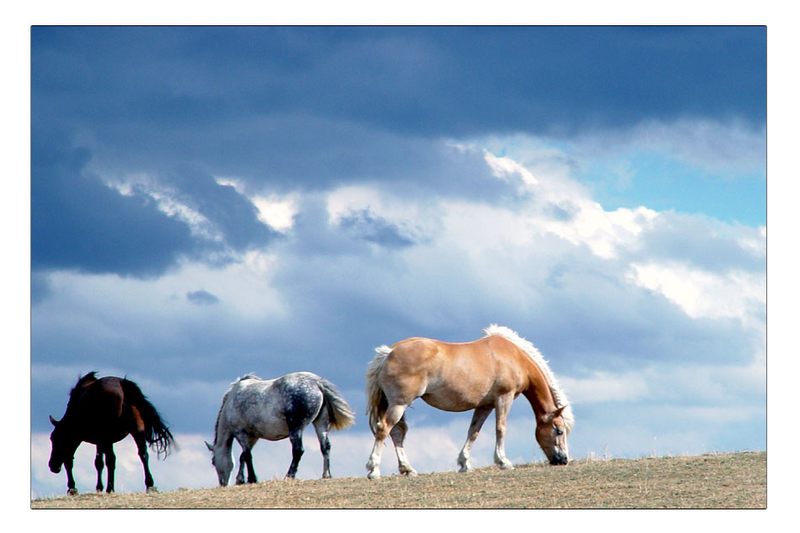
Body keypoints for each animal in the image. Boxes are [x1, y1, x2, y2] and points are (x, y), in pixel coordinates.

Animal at [206, 372, 356, 484]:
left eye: (213, 462)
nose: (223, 484)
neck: (231, 402)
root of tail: (317, 383)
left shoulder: (241, 433)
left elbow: (247, 456)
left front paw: (252, 479)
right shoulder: (252, 437)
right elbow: (243, 456)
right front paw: (241, 480)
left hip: (296, 428)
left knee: (298, 450)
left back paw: (289, 476)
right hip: (321, 424)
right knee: (325, 447)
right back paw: (326, 475)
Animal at [366, 324, 572, 478]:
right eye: (559, 430)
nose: (563, 460)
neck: (513, 357)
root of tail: (389, 353)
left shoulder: (485, 405)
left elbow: (473, 432)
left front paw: (464, 463)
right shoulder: (503, 398)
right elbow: (500, 428)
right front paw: (503, 462)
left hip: (396, 404)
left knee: (397, 433)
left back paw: (407, 469)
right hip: (399, 404)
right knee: (384, 429)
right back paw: (374, 469)